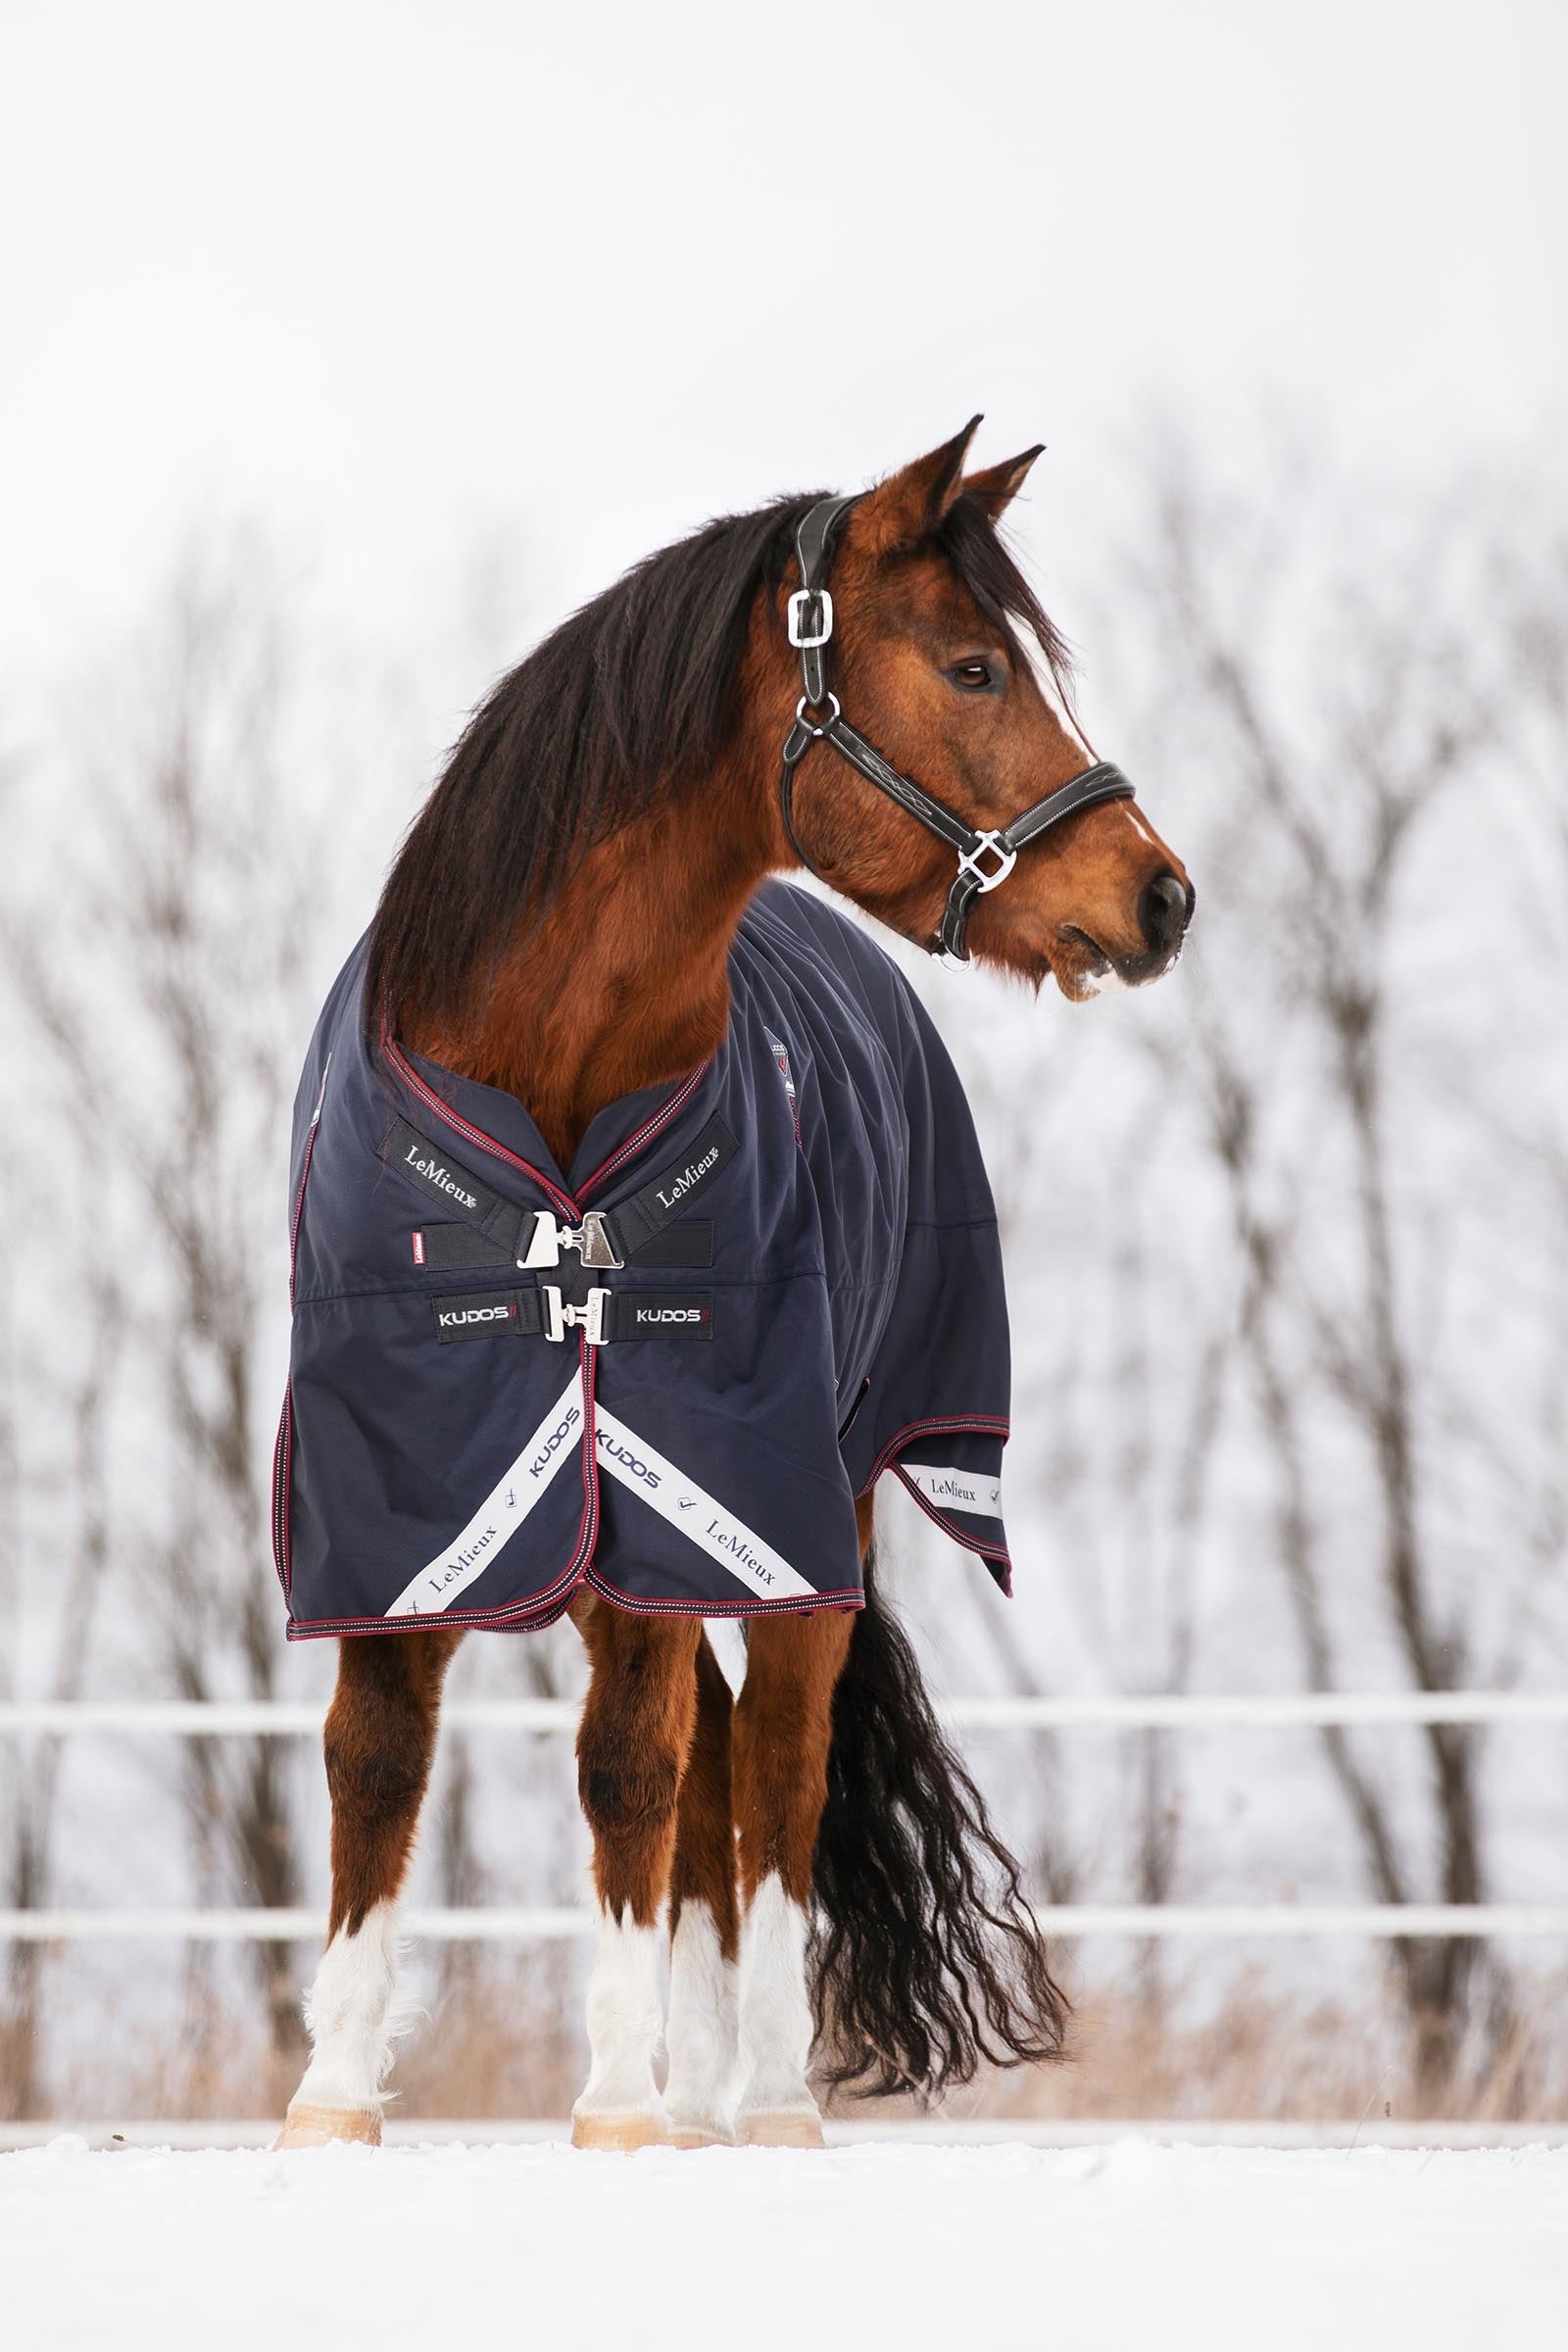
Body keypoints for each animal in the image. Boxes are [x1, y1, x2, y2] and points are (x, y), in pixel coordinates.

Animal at [272, 418, 1193, 2151]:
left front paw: (617, 2102)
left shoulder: (691, 1464)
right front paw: (333, 2097)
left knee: (771, 1768)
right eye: (974, 666)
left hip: (806, 1513)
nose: (1163, 895)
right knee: (717, 1784)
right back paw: (704, 2094)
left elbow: (637, 1768)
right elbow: (379, 1757)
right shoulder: (402, 1496)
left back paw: (757, 2096)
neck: (547, 1081)